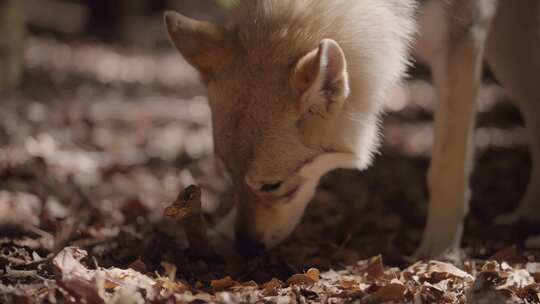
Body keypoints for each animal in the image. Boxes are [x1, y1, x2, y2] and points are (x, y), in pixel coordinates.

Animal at [163, 0, 540, 256]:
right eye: (230, 177)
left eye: (272, 185)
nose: (245, 247)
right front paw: (224, 228)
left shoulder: (463, 38)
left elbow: (446, 168)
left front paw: (440, 250)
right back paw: (526, 216)